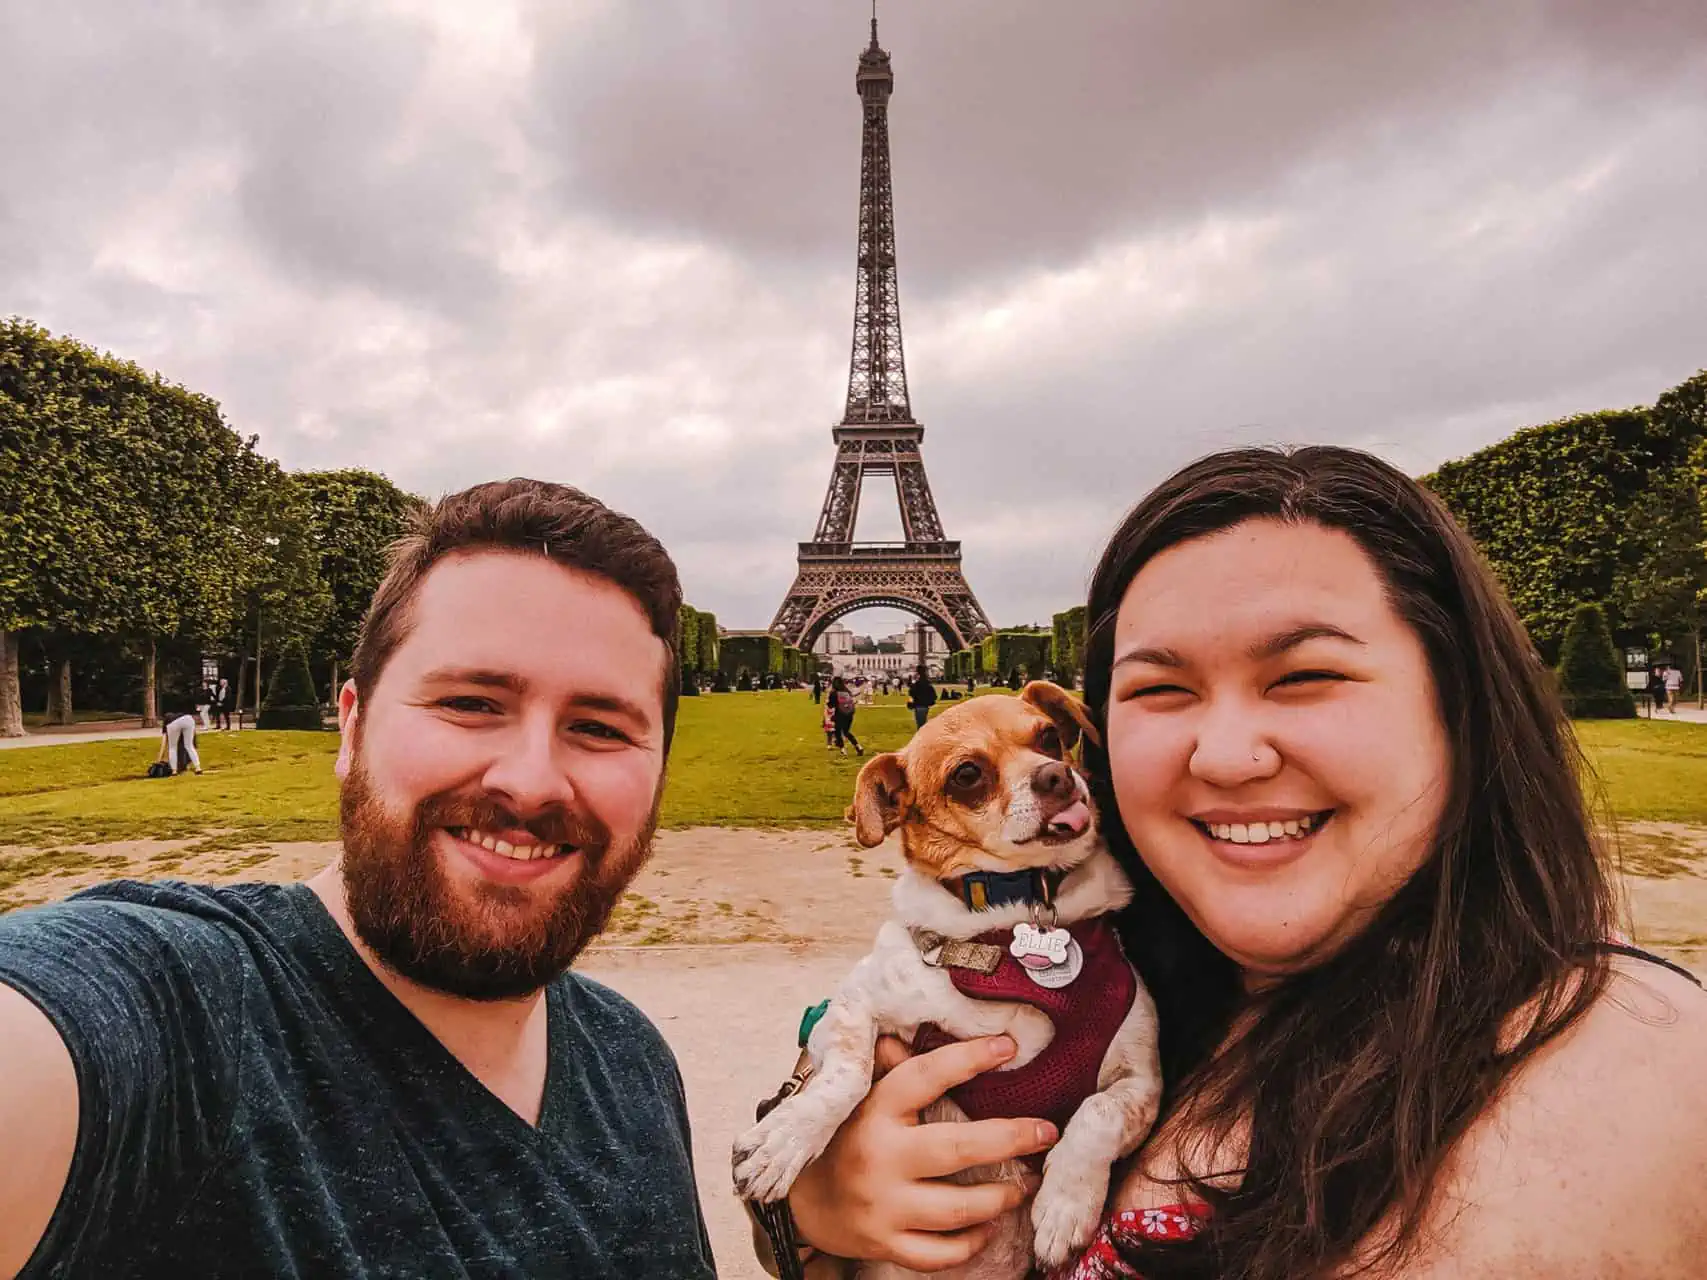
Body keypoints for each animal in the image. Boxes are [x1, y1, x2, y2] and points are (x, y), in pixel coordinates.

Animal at [734, 686, 1160, 1276]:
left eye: (1049, 736)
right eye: (967, 774)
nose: (1056, 775)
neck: (1012, 917)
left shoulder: (1140, 1081)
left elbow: (1099, 1114)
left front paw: (1065, 1206)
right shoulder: (853, 1004)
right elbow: (845, 1075)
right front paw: (785, 1138)